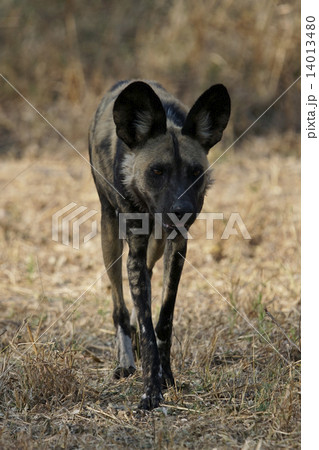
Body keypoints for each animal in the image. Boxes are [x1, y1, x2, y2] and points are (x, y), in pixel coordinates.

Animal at [89, 79, 231, 410]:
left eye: (195, 172)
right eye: (157, 171)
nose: (181, 209)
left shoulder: (177, 246)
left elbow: (163, 320)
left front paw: (166, 376)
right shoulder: (135, 251)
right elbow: (145, 323)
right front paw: (150, 391)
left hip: (156, 244)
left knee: (148, 282)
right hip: (110, 238)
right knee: (119, 303)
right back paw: (126, 360)